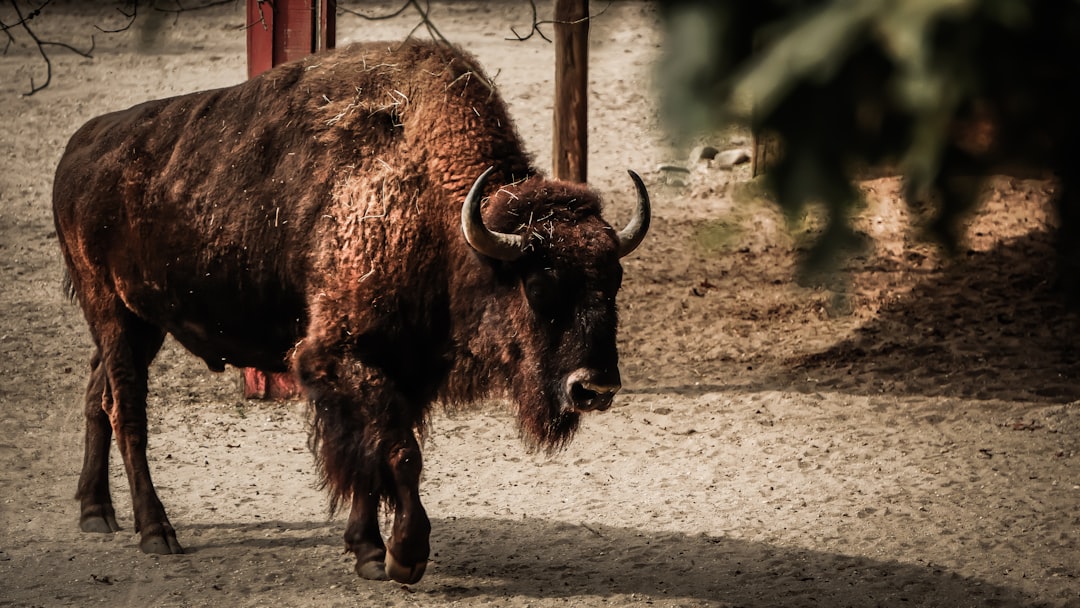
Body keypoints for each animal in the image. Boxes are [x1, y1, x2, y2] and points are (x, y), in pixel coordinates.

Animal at [52, 40, 650, 585]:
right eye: (540, 286)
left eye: (614, 281)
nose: (594, 387)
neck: (441, 221)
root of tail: (78, 147)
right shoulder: (338, 359)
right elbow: (398, 454)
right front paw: (404, 556)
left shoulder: (405, 371)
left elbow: (372, 456)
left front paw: (367, 550)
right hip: (114, 314)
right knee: (126, 411)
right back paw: (156, 532)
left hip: (140, 323)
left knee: (97, 394)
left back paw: (95, 513)